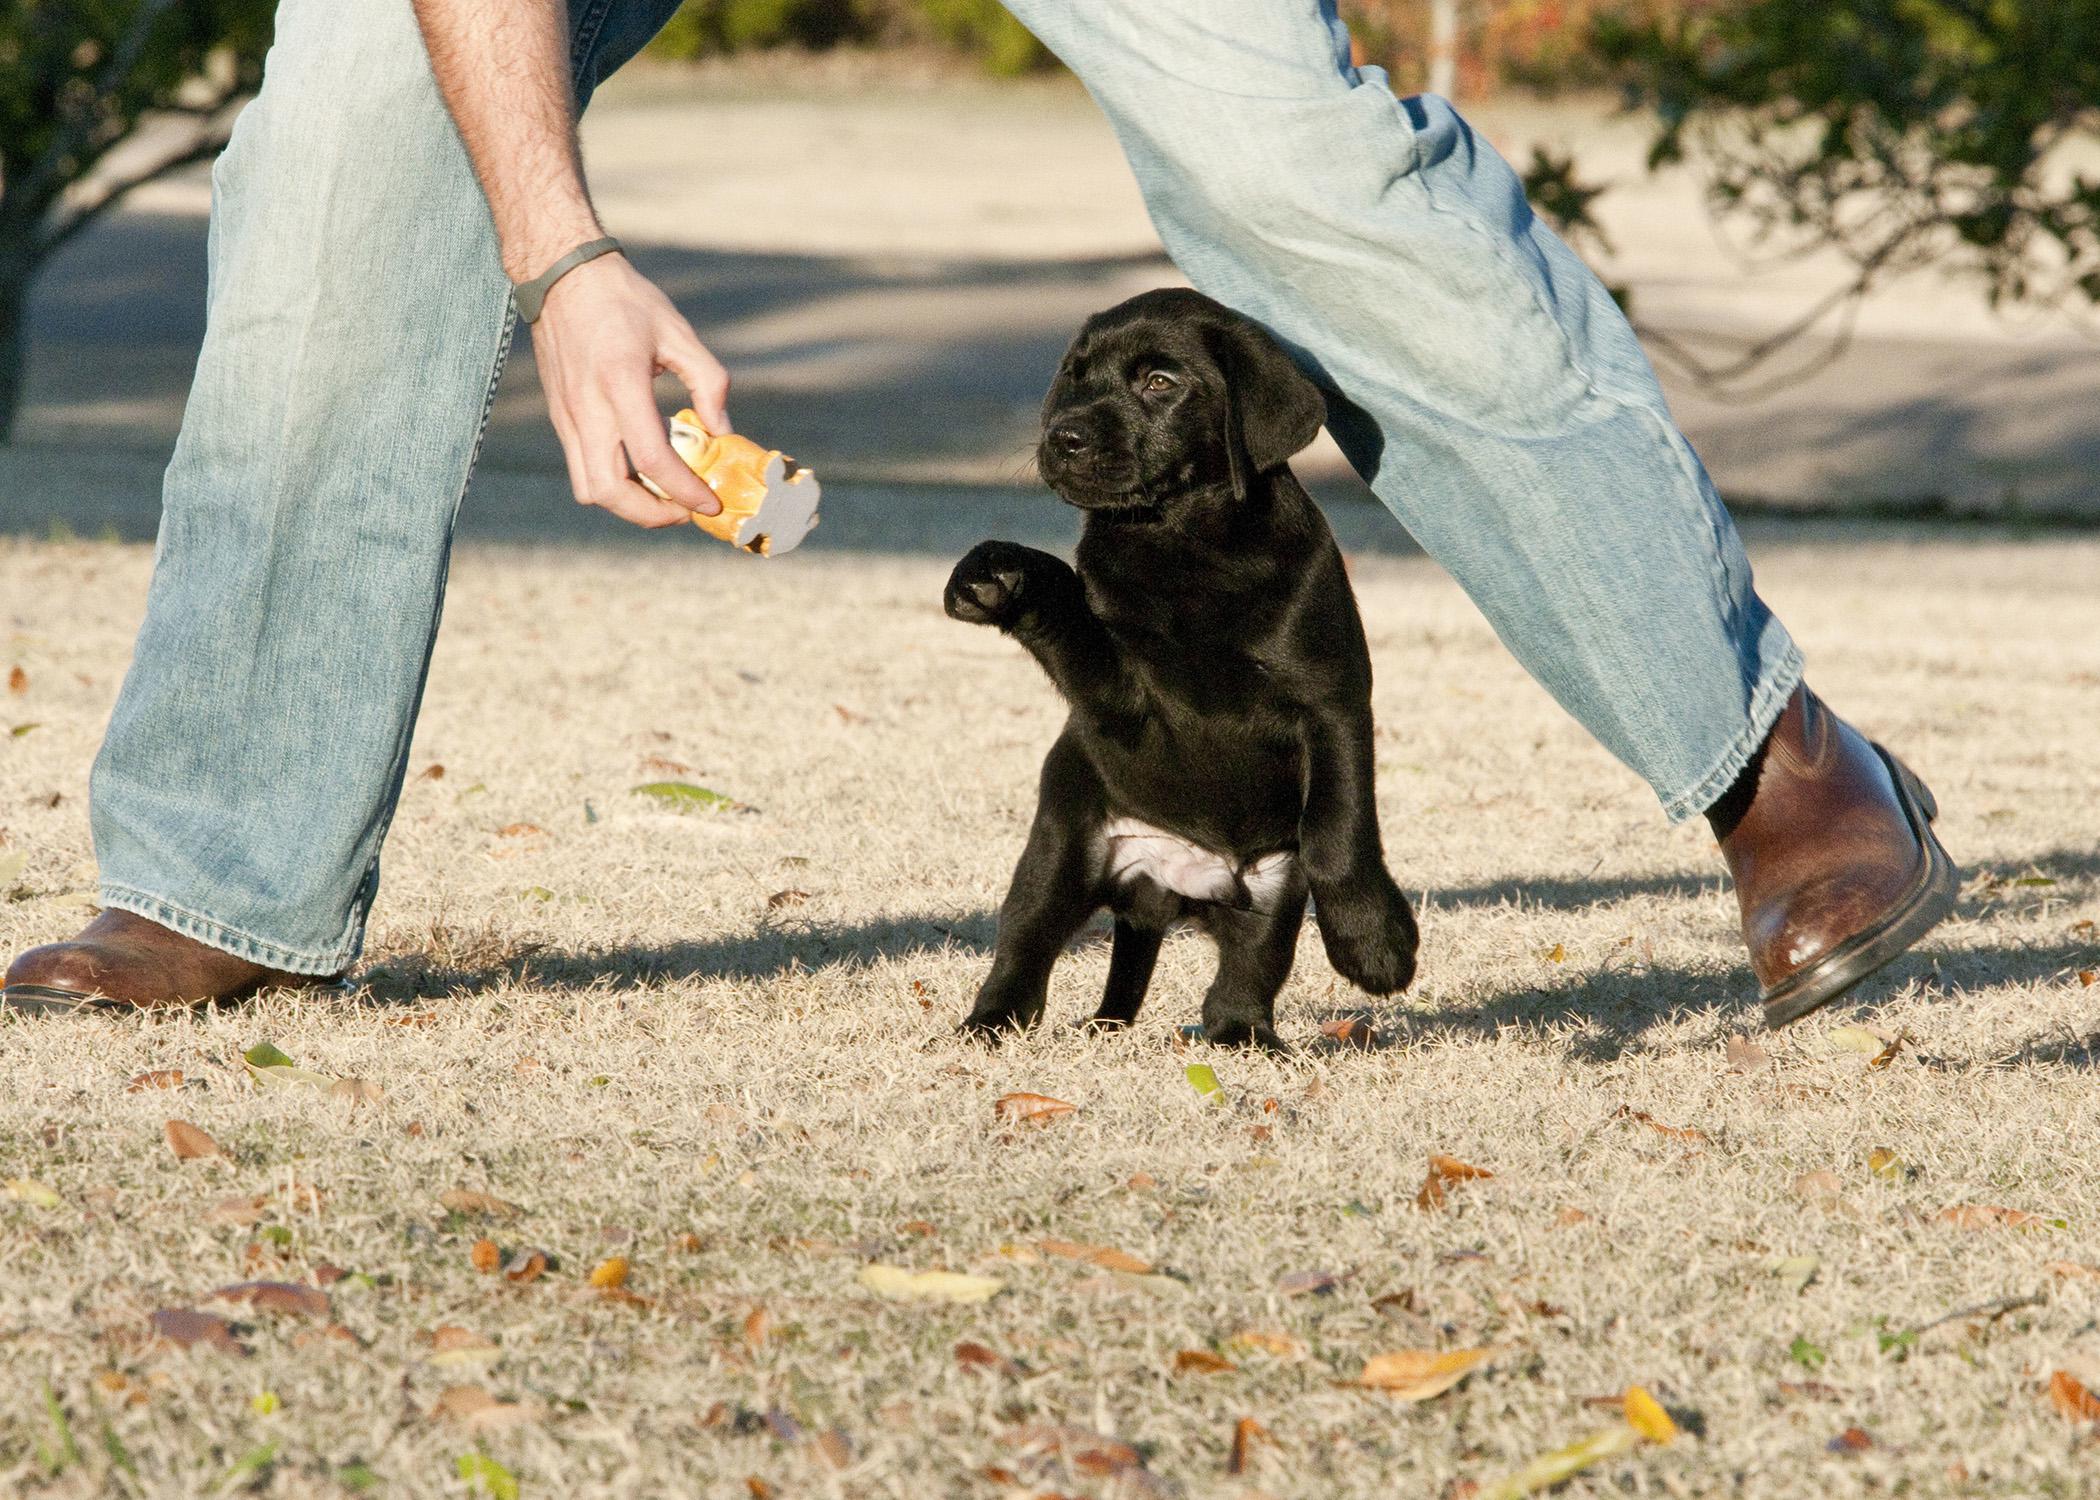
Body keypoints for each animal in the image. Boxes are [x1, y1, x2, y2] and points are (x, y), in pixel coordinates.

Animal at [944, 285, 1419, 1046]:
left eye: (1160, 383)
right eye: (1075, 375)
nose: (1063, 437)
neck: (1184, 542)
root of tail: (1167, 890)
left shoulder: (1333, 701)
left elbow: (1338, 829)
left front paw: (1374, 942)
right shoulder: (1123, 699)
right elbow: (1072, 612)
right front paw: (1002, 575)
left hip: (1269, 889)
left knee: (1242, 977)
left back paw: (1246, 1039)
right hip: (1059, 854)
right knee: (1024, 946)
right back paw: (993, 1023)